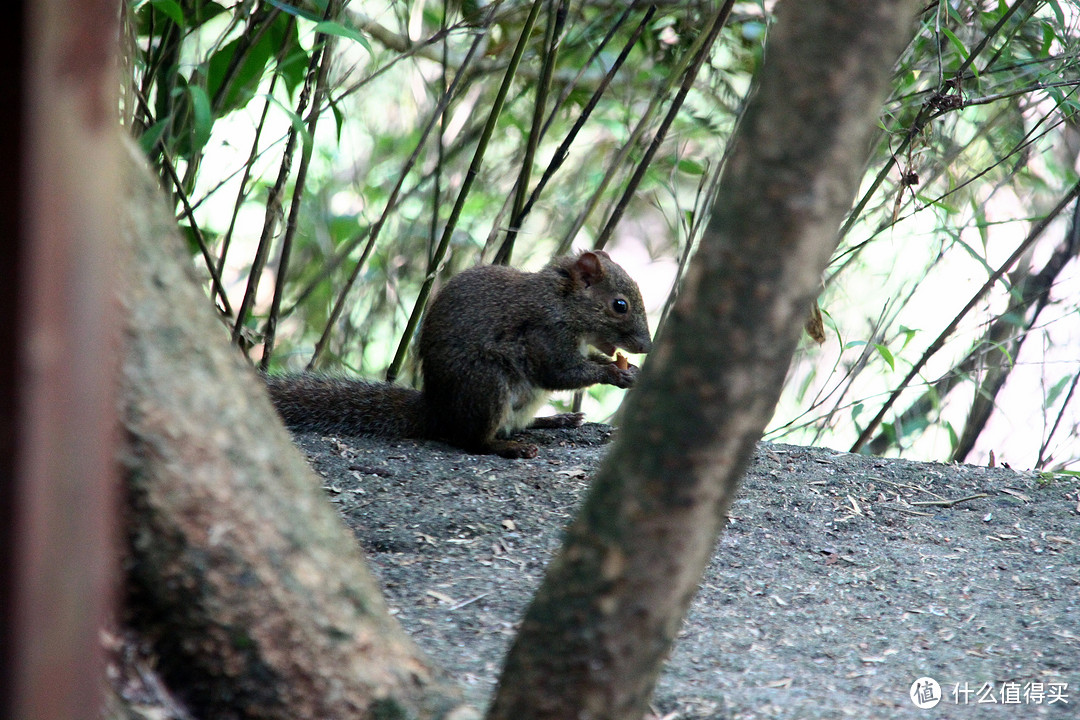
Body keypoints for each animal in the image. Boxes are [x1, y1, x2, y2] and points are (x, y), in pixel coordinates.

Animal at [263, 250, 648, 459]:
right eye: (620, 305)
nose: (646, 345)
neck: (565, 303)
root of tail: (438, 409)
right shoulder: (544, 334)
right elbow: (559, 372)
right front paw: (614, 373)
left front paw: (630, 370)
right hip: (487, 384)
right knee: (473, 439)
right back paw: (509, 447)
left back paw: (554, 420)